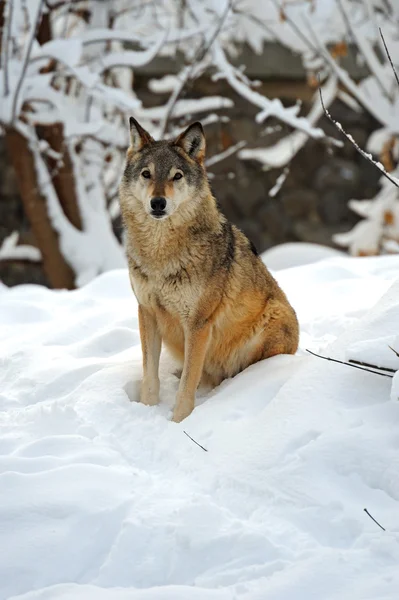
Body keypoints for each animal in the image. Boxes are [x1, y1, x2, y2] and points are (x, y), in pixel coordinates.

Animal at [119, 117, 300, 422]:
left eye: (177, 176)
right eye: (146, 174)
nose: (158, 203)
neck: (161, 254)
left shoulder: (198, 324)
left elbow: (186, 388)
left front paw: (178, 423)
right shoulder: (147, 312)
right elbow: (150, 378)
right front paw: (146, 410)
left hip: (273, 320)